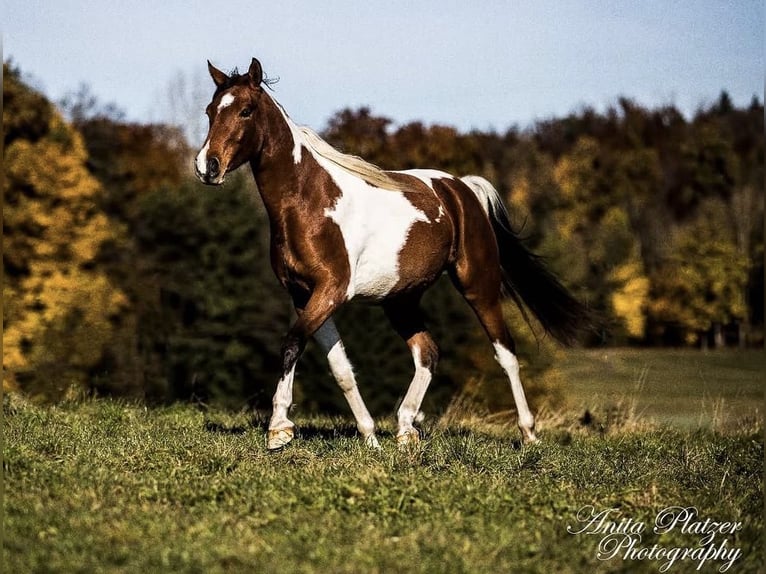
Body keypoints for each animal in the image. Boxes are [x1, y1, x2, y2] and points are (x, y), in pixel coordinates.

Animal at [195, 58, 592, 449]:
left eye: (246, 110)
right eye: (210, 111)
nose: (206, 167)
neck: (309, 203)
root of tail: (462, 188)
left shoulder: (332, 290)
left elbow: (292, 343)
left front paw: (279, 428)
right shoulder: (303, 294)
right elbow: (339, 367)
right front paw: (369, 436)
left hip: (478, 284)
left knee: (505, 352)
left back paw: (529, 433)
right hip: (401, 300)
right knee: (428, 352)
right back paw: (405, 430)